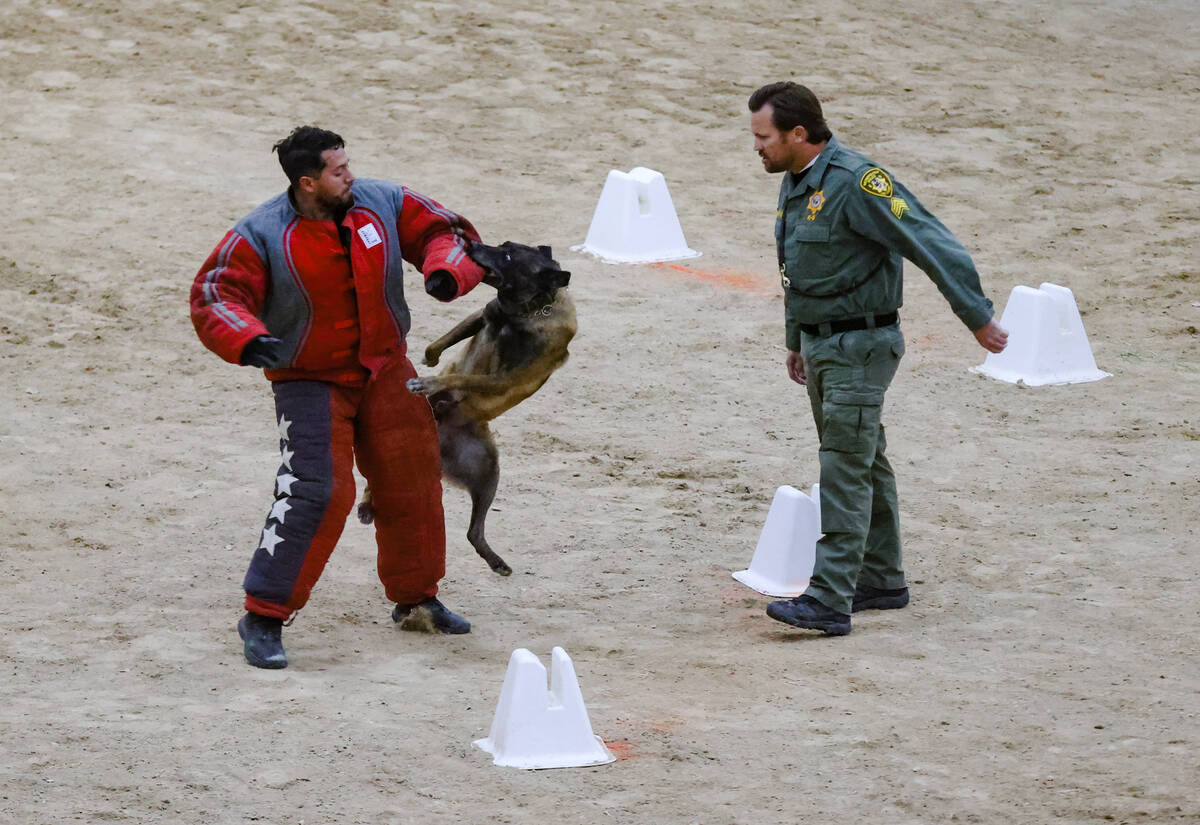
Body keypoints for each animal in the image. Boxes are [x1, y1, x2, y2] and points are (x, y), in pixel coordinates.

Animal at [355, 238, 576, 573]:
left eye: (508, 256)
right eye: (504, 244)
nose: (470, 243)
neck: (530, 312)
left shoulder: (505, 378)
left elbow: (460, 376)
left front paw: (429, 382)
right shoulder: (481, 316)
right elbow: (442, 344)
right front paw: (430, 361)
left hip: (488, 472)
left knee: (475, 531)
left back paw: (497, 562)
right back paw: (367, 504)